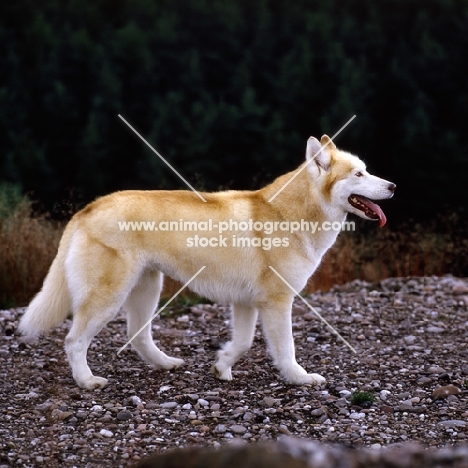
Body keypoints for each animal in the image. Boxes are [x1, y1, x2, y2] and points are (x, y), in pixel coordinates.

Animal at [20, 134, 396, 388]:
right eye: (359, 174)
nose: (393, 185)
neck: (290, 215)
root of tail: (89, 207)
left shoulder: (248, 303)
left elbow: (243, 343)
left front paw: (222, 366)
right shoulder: (277, 302)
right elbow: (286, 349)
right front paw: (299, 378)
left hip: (147, 289)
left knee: (137, 336)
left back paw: (166, 363)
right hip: (108, 297)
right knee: (74, 341)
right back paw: (87, 381)